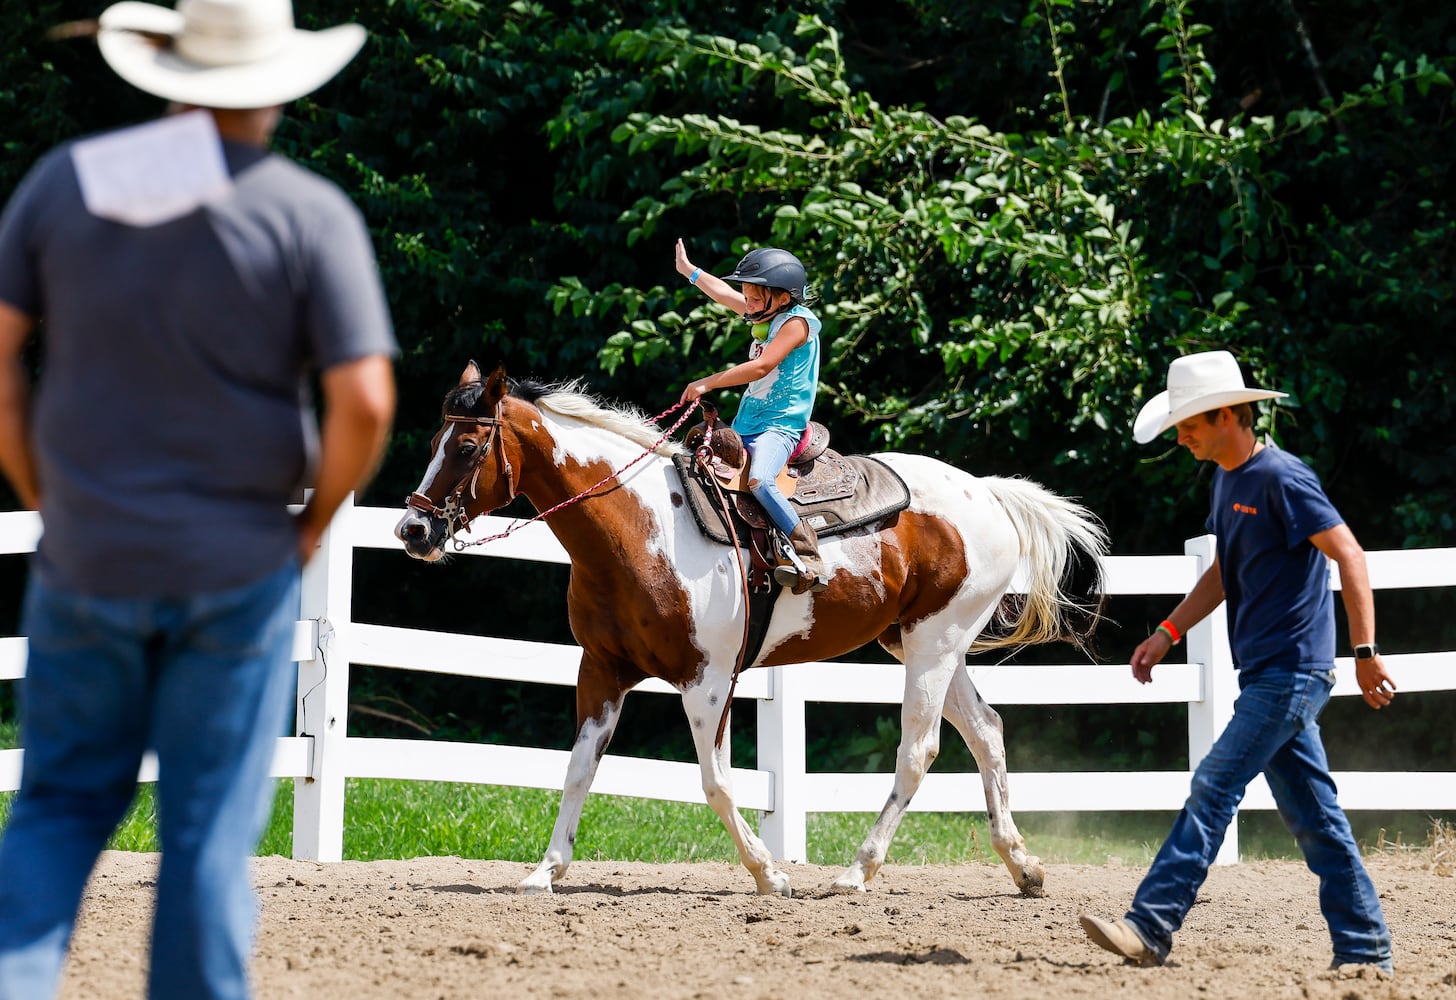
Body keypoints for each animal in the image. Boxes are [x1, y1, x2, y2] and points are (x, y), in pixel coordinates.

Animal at [398, 365, 1100, 902]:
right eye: (433, 440)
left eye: (467, 448)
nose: (413, 530)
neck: (638, 529)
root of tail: (987, 493)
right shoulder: (600, 671)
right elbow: (577, 771)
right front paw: (545, 872)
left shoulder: (707, 681)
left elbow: (715, 781)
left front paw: (769, 873)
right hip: (922, 642)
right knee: (987, 732)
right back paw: (1023, 868)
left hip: (934, 644)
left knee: (918, 749)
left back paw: (856, 872)